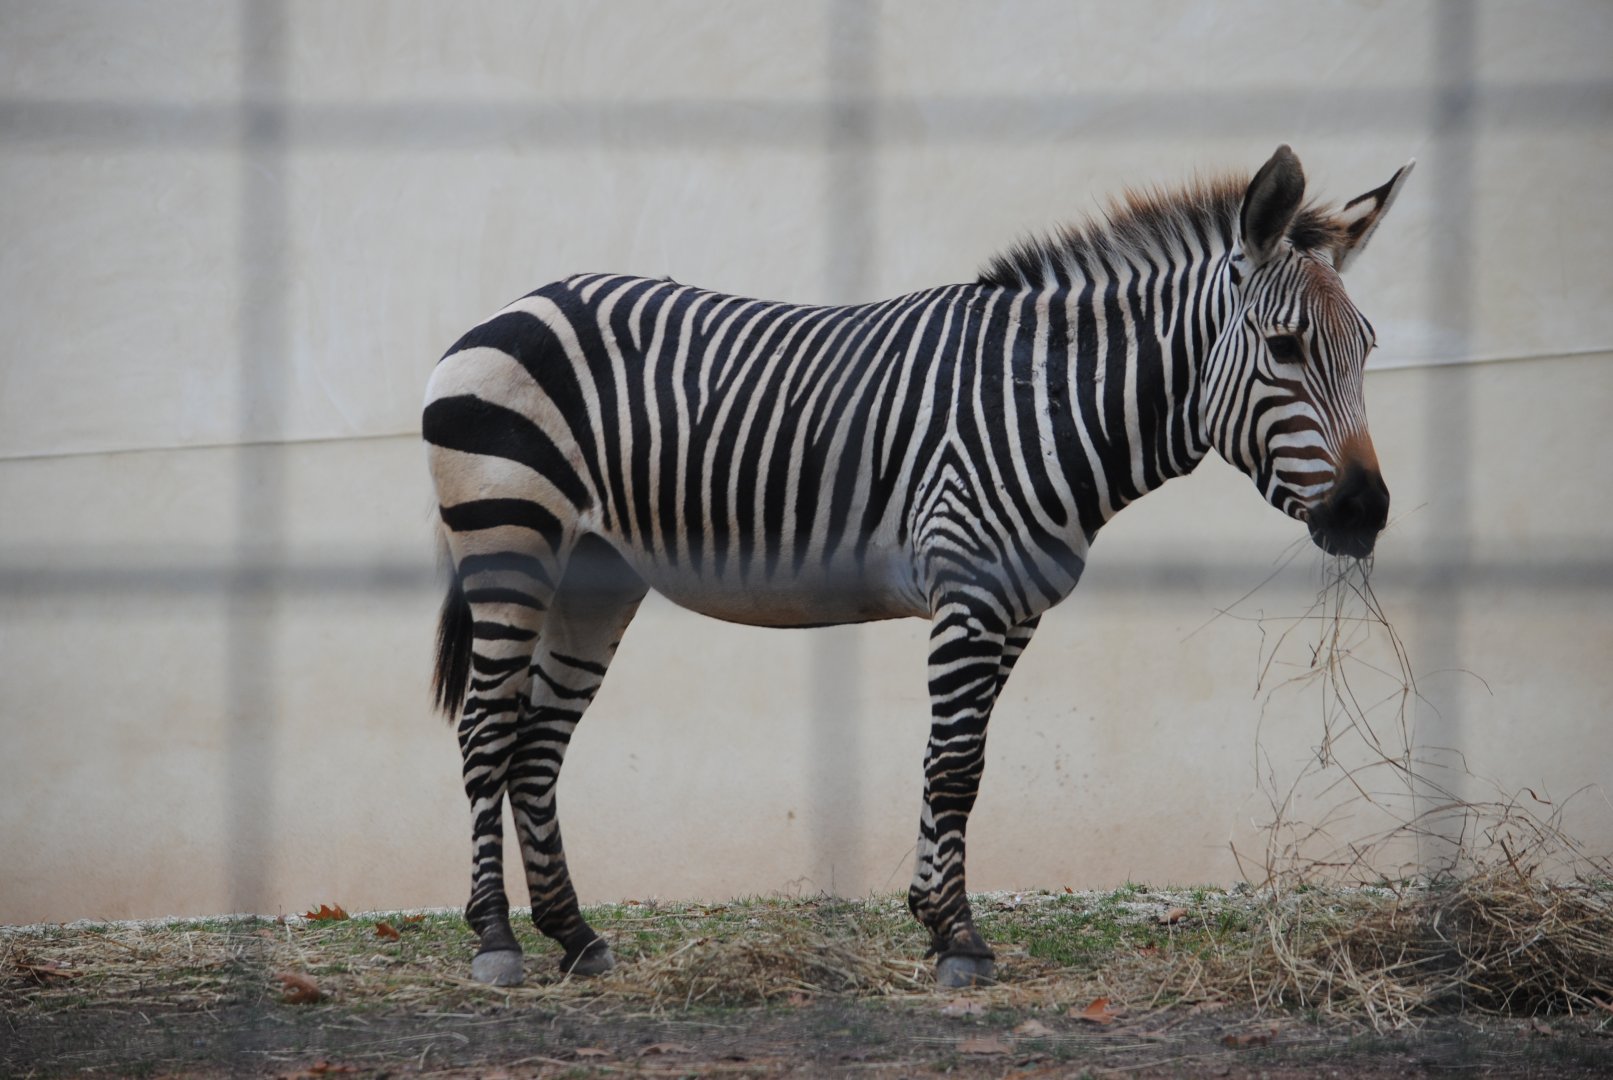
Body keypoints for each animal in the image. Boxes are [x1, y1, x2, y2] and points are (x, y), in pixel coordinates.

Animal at [424, 145, 1411, 988]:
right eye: (1283, 347)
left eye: (1366, 347)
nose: (1365, 514)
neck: (1049, 403)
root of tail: (519, 303)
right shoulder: (968, 592)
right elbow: (953, 765)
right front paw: (958, 938)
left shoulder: (1014, 606)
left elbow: (962, 760)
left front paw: (935, 920)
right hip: (511, 540)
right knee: (485, 730)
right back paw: (496, 940)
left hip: (596, 573)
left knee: (537, 744)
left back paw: (575, 936)